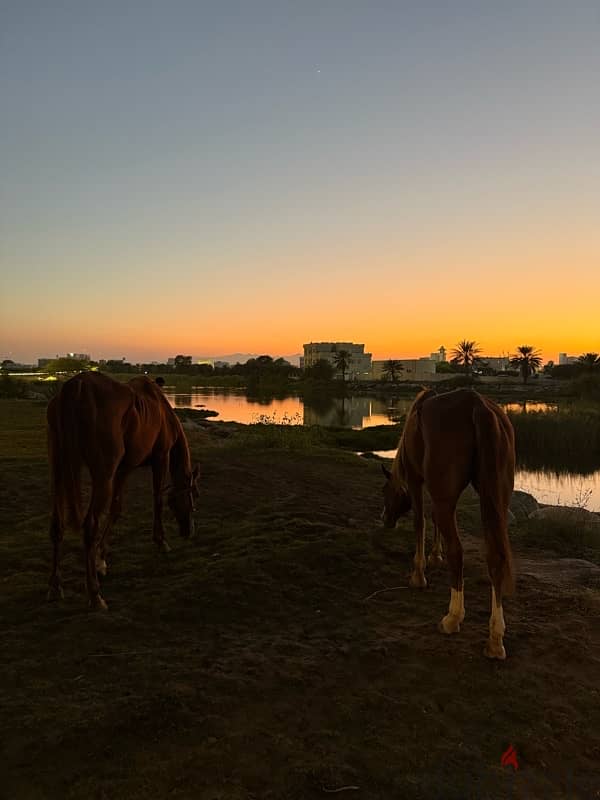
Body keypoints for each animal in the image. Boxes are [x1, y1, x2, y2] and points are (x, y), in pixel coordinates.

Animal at [47, 372, 200, 608]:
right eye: (193, 496)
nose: (188, 531)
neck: (163, 411)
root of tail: (78, 386)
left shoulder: (124, 468)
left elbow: (116, 509)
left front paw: (100, 559)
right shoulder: (161, 458)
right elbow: (157, 499)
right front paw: (161, 541)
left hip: (60, 471)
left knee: (57, 524)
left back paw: (56, 587)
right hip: (103, 475)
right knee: (90, 525)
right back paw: (95, 595)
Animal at [380, 386, 516, 656]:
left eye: (385, 492)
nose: (385, 519)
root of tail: (476, 404)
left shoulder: (415, 479)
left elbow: (420, 522)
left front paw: (419, 573)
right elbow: (434, 519)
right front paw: (435, 555)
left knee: (458, 551)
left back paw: (453, 618)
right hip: (497, 499)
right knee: (495, 557)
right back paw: (495, 639)